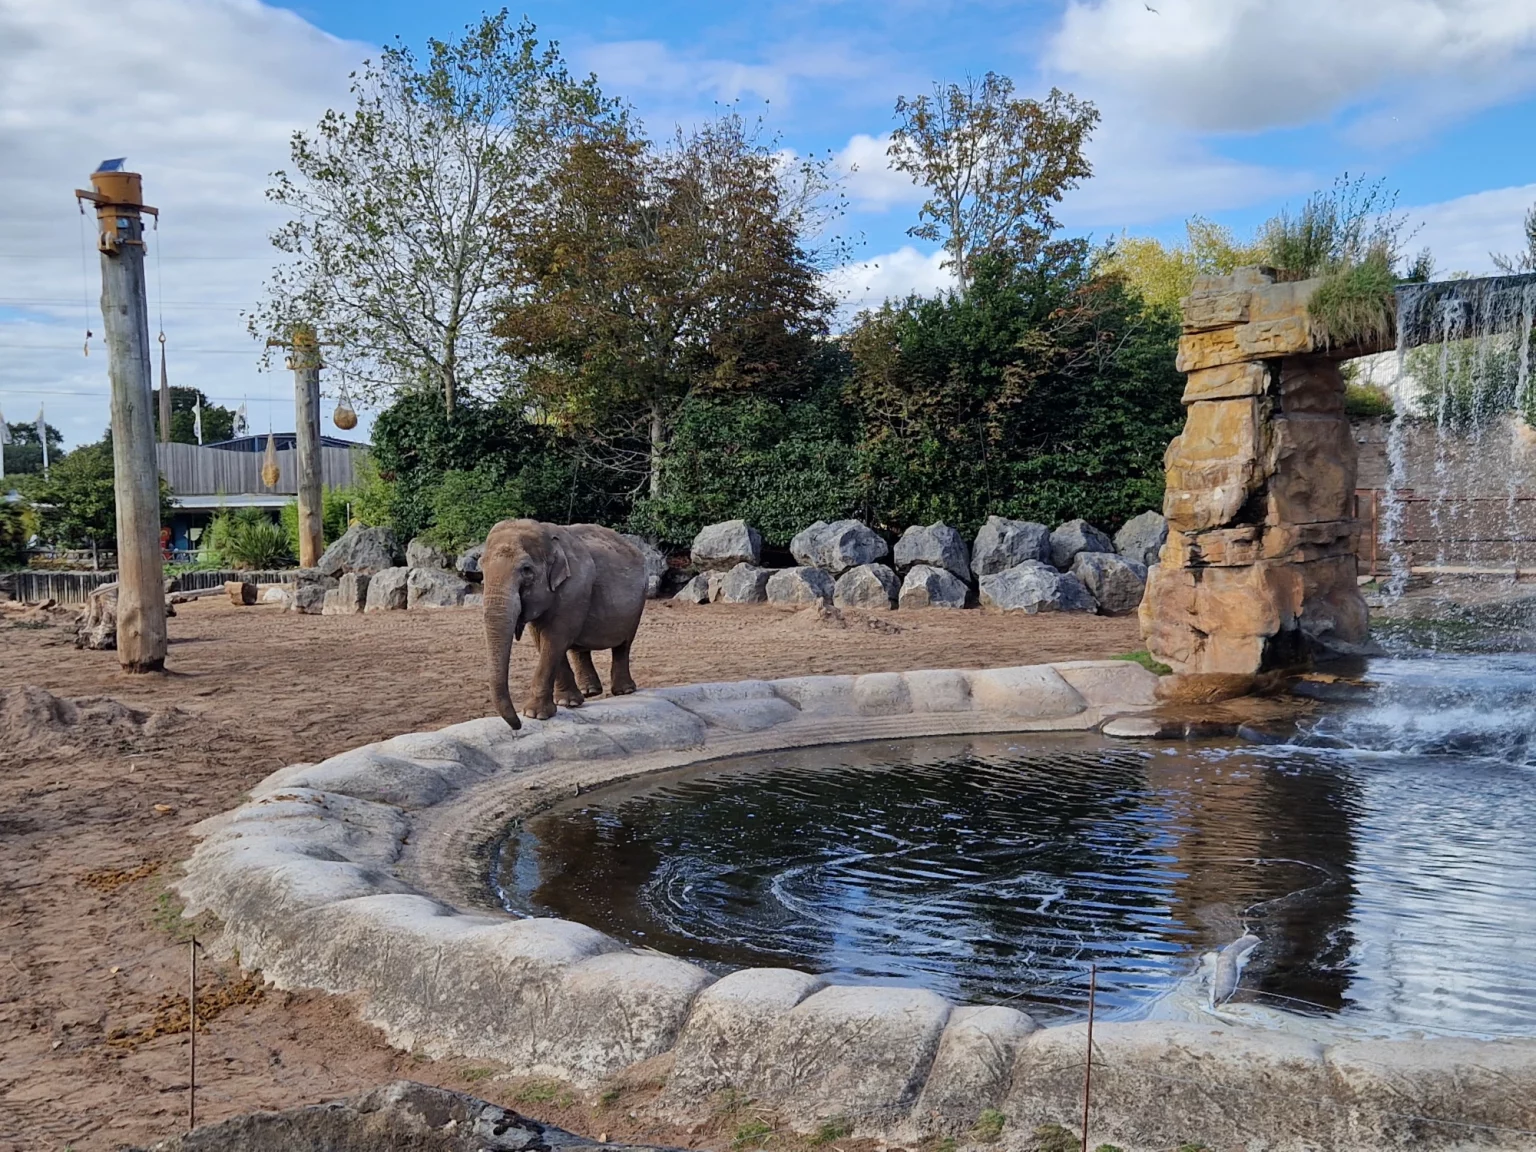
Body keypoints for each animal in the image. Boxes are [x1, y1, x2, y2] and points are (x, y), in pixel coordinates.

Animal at [482, 519, 648, 729]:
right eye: (481, 567)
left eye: (526, 569)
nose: (517, 725)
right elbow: (543, 639)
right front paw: (567, 703)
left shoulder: (574, 588)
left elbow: (554, 639)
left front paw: (535, 714)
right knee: (579, 647)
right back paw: (589, 692)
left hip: (638, 603)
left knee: (623, 645)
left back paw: (623, 691)